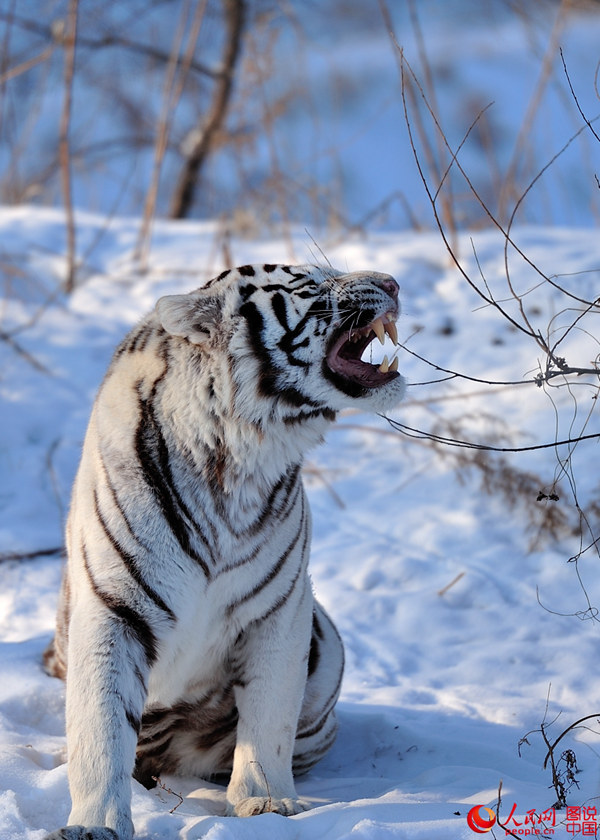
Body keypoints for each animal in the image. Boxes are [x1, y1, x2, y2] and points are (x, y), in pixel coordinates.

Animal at [43, 264, 404, 840]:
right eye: (312, 283)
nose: (392, 282)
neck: (237, 458)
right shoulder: (114, 608)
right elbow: (101, 728)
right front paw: (96, 825)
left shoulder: (280, 608)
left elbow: (269, 713)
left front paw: (266, 803)